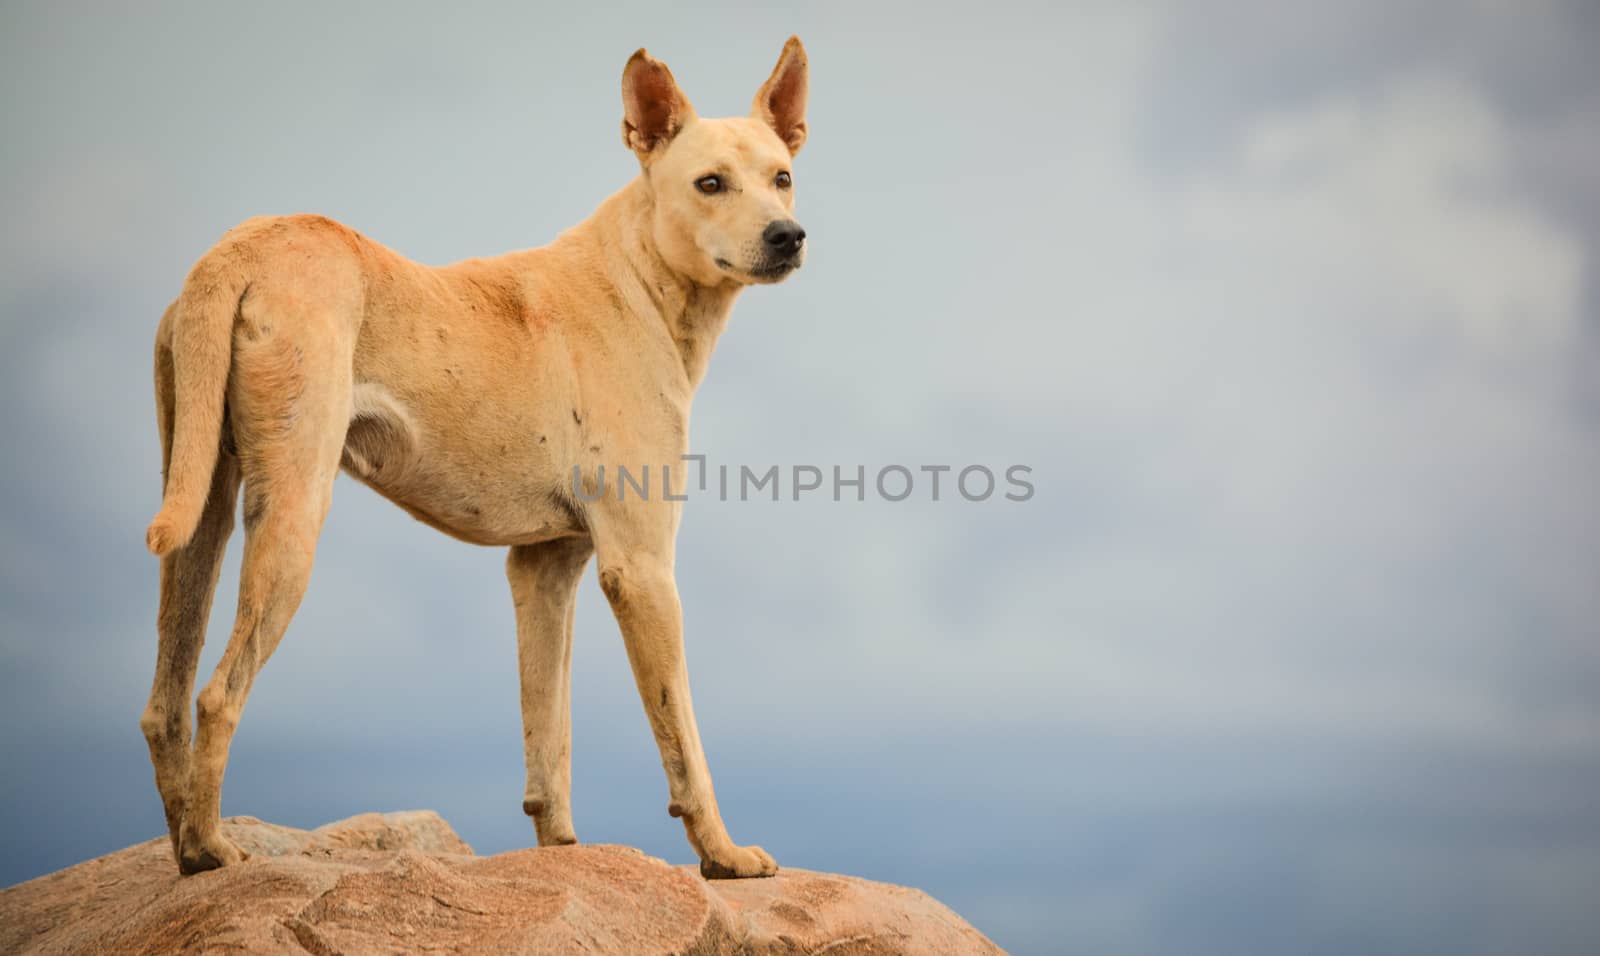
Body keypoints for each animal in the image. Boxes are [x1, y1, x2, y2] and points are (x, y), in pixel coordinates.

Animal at [140, 37, 812, 882]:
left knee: (165, 704)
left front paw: (562, 851)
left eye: (782, 176)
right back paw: (210, 850)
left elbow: (548, 733)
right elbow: (683, 738)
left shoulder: (545, 567)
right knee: (217, 695)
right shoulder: (643, 568)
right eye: (710, 183)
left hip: (200, 510)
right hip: (292, 517)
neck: (640, 279)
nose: (788, 236)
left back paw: (183, 850)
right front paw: (722, 855)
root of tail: (239, 249)